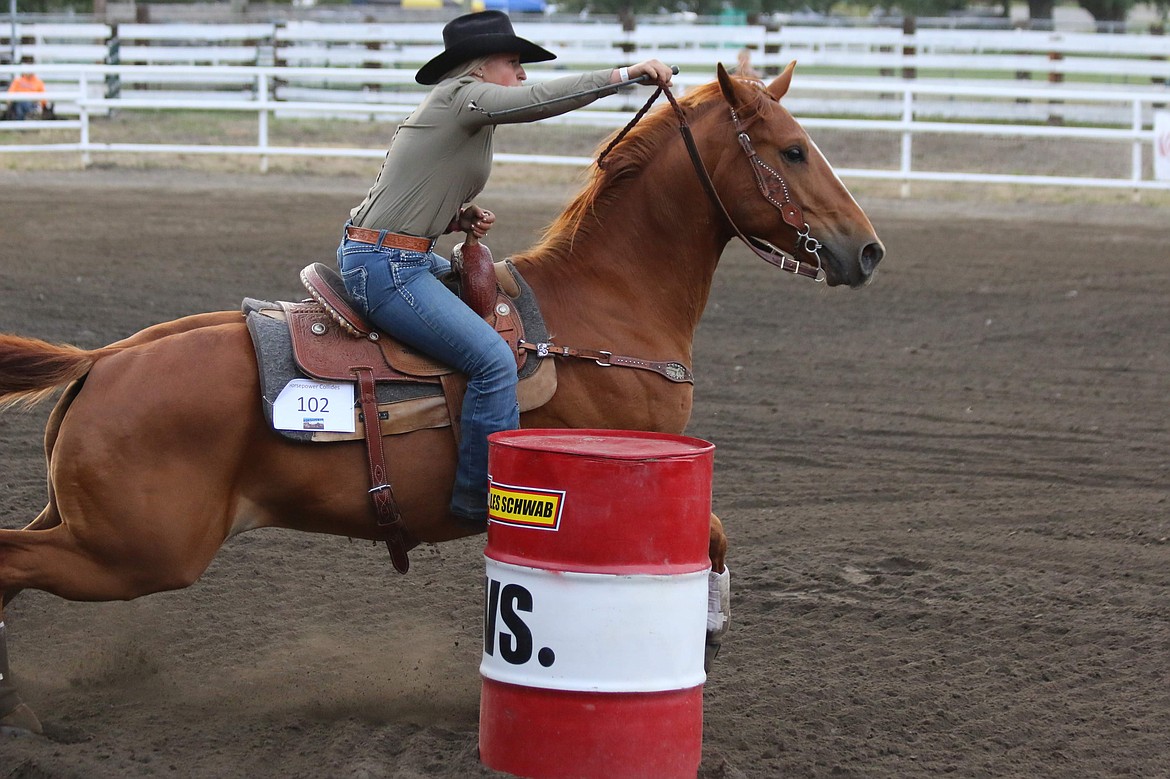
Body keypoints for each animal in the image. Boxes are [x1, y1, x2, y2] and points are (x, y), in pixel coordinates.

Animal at [0, 63, 879, 729]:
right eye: (794, 150)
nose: (866, 250)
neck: (602, 309)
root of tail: (103, 358)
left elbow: (717, 534)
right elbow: (715, 532)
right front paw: (708, 633)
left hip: (87, 526)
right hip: (137, 551)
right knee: (11, 561)